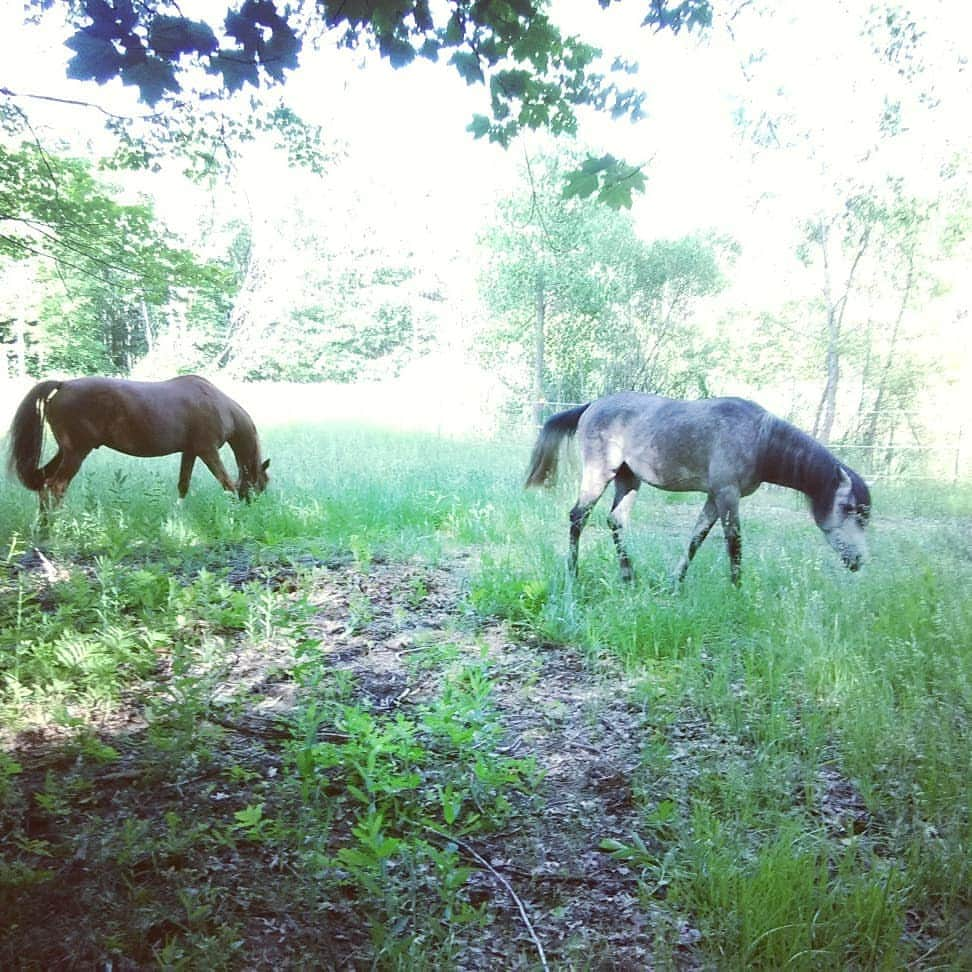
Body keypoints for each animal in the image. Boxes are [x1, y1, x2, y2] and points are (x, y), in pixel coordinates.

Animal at [6, 374, 270, 516]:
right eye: (262, 484)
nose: (254, 508)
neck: (218, 405)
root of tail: (64, 384)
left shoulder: (190, 452)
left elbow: (183, 485)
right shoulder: (208, 451)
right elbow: (226, 483)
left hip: (66, 451)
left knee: (44, 484)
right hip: (76, 452)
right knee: (56, 486)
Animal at [524, 392, 872, 584]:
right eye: (847, 508)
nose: (858, 560)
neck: (759, 438)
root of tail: (592, 404)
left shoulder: (715, 497)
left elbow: (696, 538)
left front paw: (675, 582)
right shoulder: (727, 494)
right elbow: (734, 544)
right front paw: (737, 591)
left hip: (628, 479)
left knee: (616, 521)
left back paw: (628, 576)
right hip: (600, 473)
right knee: (578, 516)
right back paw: (573, 573)